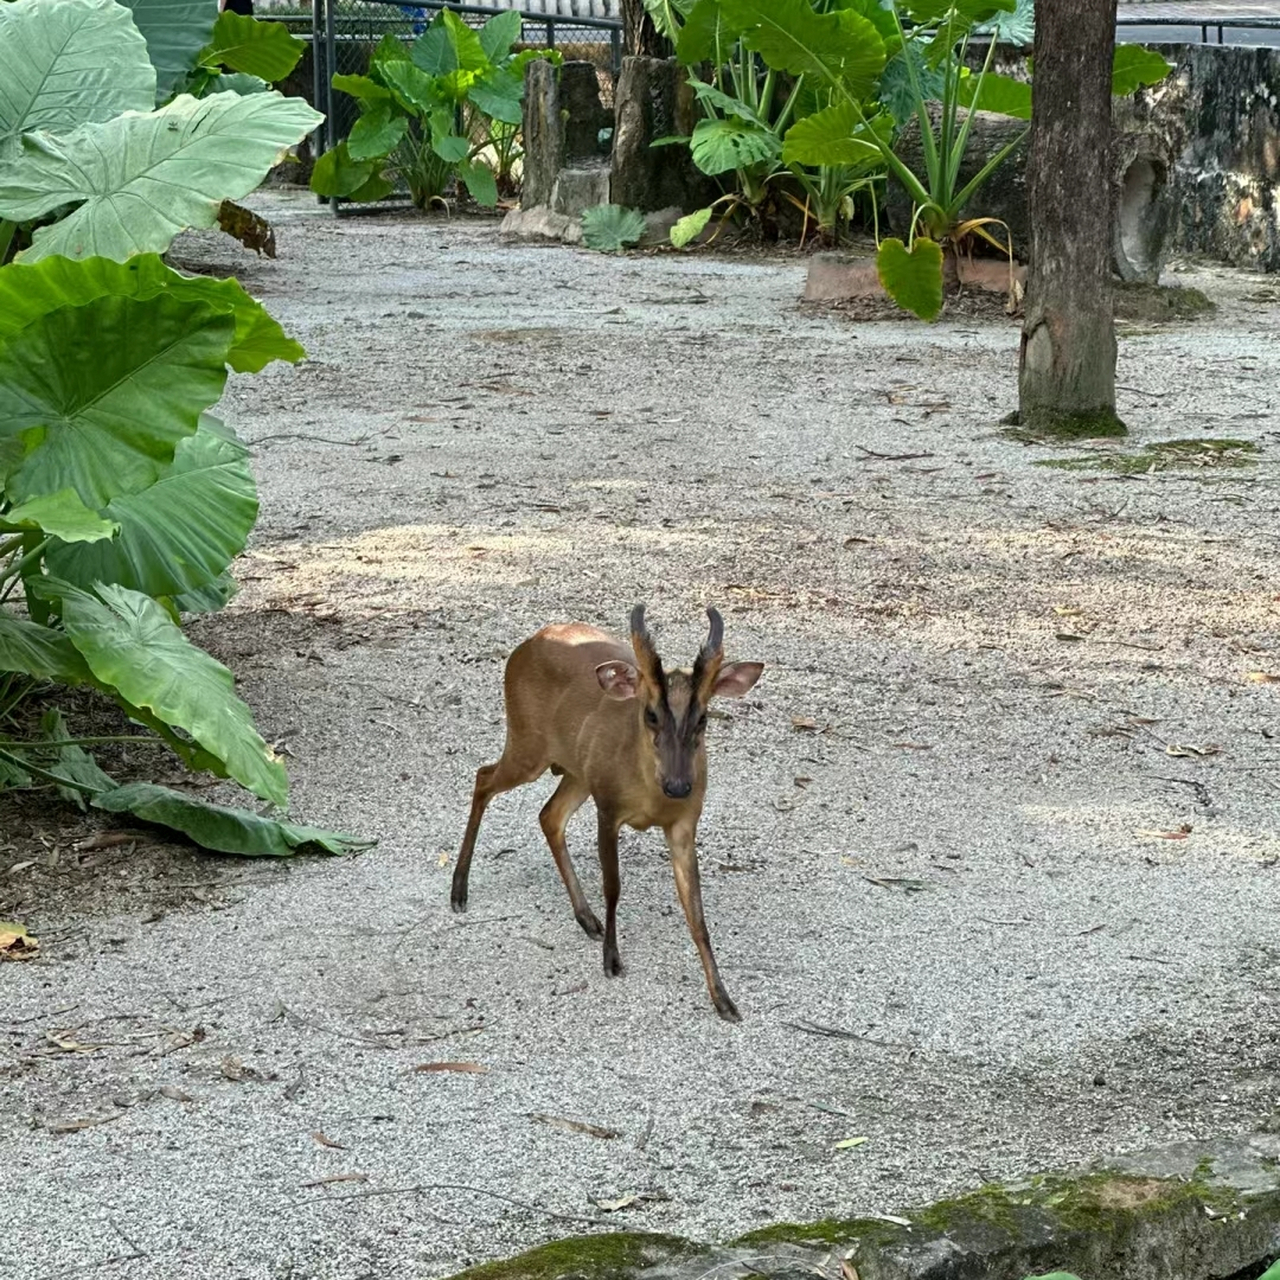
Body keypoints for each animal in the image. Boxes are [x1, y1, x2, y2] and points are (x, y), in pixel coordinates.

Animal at [455, 604, 762, 1024]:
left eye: (703, 718)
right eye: (650, 715)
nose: (679, 786)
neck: (650, 796)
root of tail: (526, 645)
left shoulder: (685, 823)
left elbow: (697, 914)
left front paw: (724, 999)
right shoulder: (608, 806)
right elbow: (613, 887)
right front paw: (612, 960)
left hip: (576, 771)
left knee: (548, 815)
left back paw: (587, 919)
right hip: (528, 744)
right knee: (483, 777)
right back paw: (459, 891)